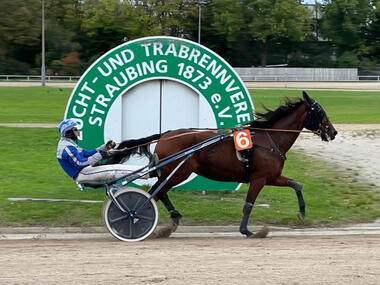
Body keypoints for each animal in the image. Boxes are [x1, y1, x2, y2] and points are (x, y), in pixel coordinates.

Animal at [146, 90, 338, 235]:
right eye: (320, 112)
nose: (333, 132)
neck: (270, 140)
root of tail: (164, 135)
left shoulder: (272, 177)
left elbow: (297, 185)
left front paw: (302, 213)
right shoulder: (259, 179)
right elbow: (248, 204)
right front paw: (246, 230)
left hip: (173, 173)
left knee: (157, 192)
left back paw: (169, 219)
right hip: (178, 173)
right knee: (157, 192)